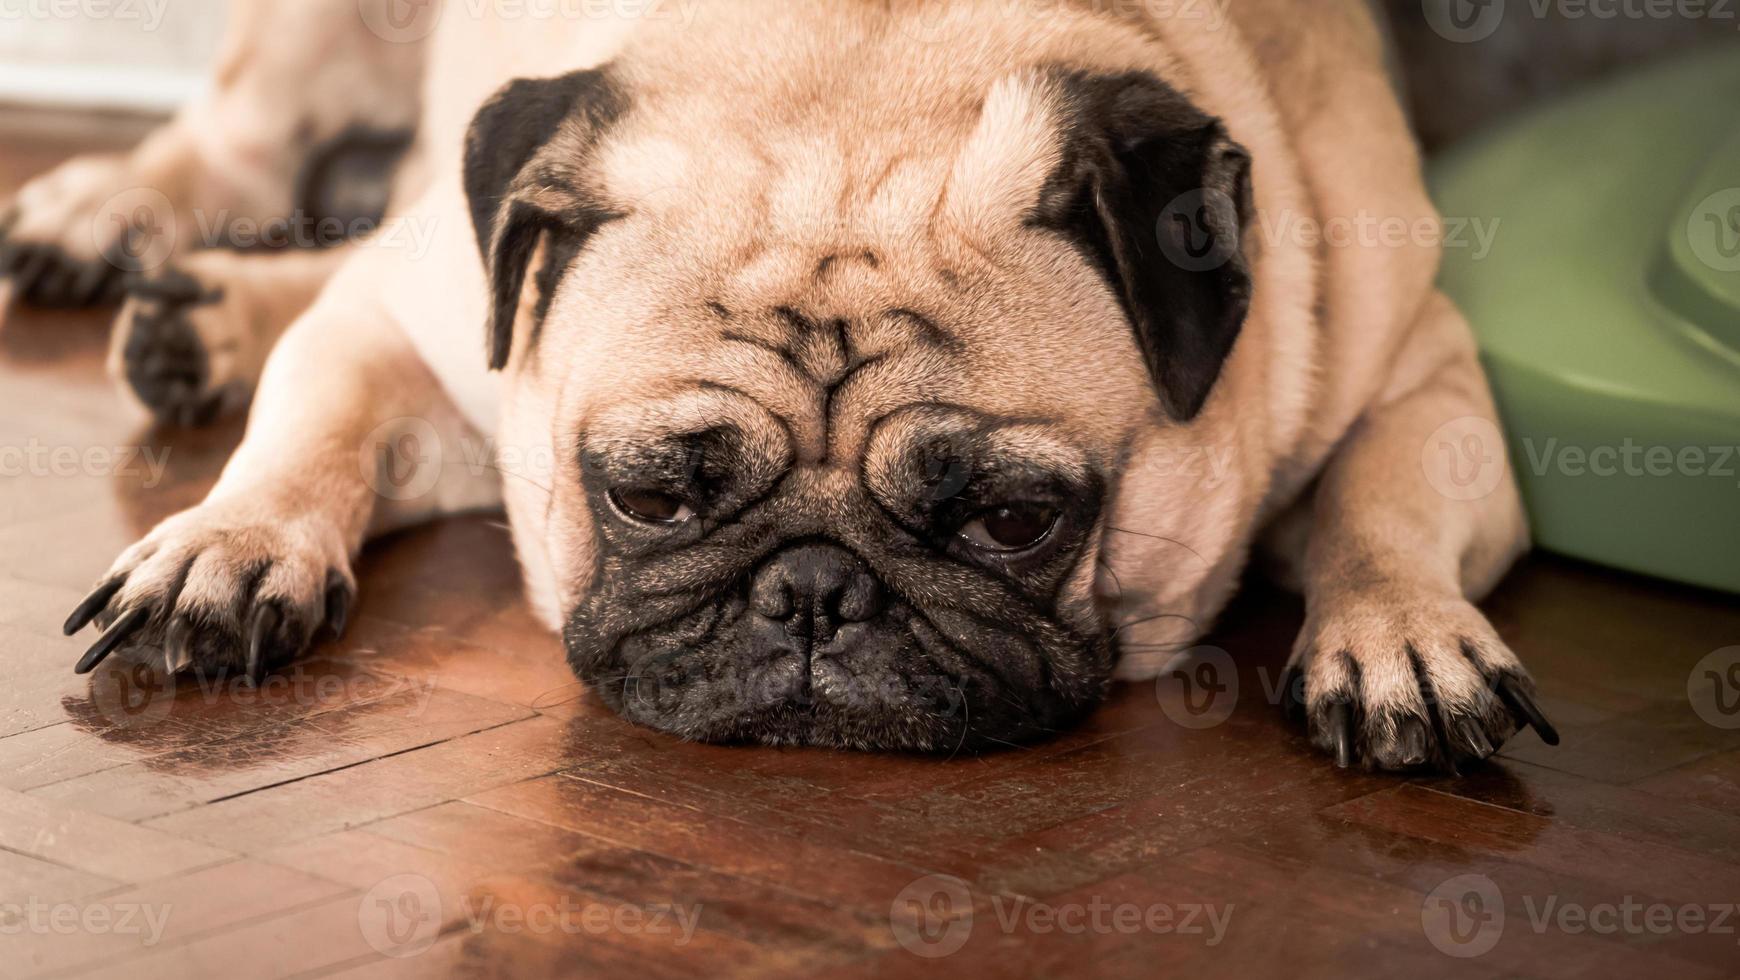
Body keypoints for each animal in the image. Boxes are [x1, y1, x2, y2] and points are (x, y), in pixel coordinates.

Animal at [13, 0, 1566, 765]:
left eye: (1014, 522)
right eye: (648, 498)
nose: (814, 590)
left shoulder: (1423, 373)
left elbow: (1382, 508)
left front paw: (1398, 634)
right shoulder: (419, 318)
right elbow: (312, 432)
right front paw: (226, 544)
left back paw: (200, 316)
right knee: (242, 141)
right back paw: (117, 232)